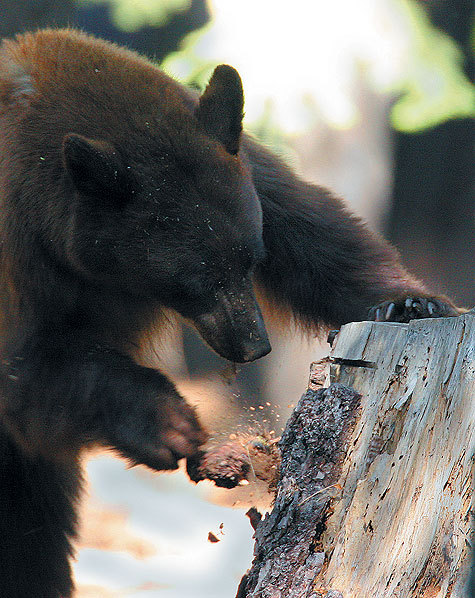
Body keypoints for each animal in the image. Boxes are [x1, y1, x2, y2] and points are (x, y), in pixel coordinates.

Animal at [0, 29, 462, 598]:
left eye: (250, 258)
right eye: (189, 282)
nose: (253, 346)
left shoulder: (251, 176)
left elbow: (320, 240)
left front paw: (409, 302)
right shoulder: (26, 264)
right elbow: (29, 375)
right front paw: (167, 423)